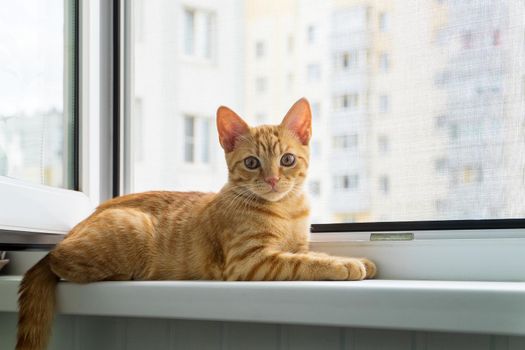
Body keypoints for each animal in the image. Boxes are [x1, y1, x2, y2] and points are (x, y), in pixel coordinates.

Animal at [17, 98, 376, 350]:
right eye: (251, 163)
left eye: (287, 160)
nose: (273, 180)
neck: (285, 210)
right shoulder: (250, 262)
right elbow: (303, 262)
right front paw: (346, 265)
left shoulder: (294, 245)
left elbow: (306, 253)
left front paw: (356, 260)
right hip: (130, 227)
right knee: (61, 261)